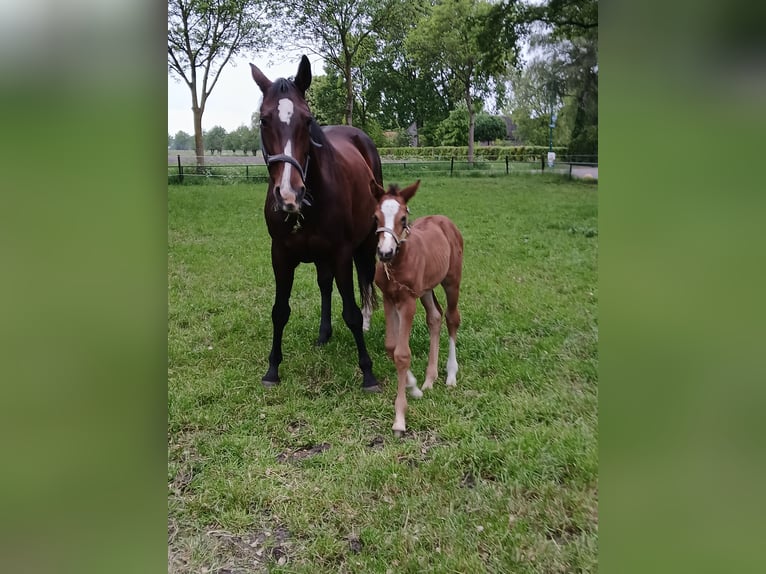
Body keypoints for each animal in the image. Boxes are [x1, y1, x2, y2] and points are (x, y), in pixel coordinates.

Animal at [250, 55, 383, 391]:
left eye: (307, 120)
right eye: (264, 120)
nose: (289, 193)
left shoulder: (342, 253)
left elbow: (351, 312)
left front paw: (368, 373)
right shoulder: (280, 255)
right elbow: (279, 311)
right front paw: (272, 369)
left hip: (363, 244)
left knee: (363, 283)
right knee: (325, 285)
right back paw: (324, 334)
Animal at [372, 180, 464, 435]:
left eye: (403, 218)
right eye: (375, 217)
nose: (384, 253)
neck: (397, 263)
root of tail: (444, 220)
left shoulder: (408, 301)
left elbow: (402, 354)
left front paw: (400, 418)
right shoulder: (388, 298)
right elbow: (391, 346)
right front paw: (414, 387)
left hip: (452, 281)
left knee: (452, 318)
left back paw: (450, 374)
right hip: (426, 289)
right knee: (435, 317)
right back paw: (429, 379)